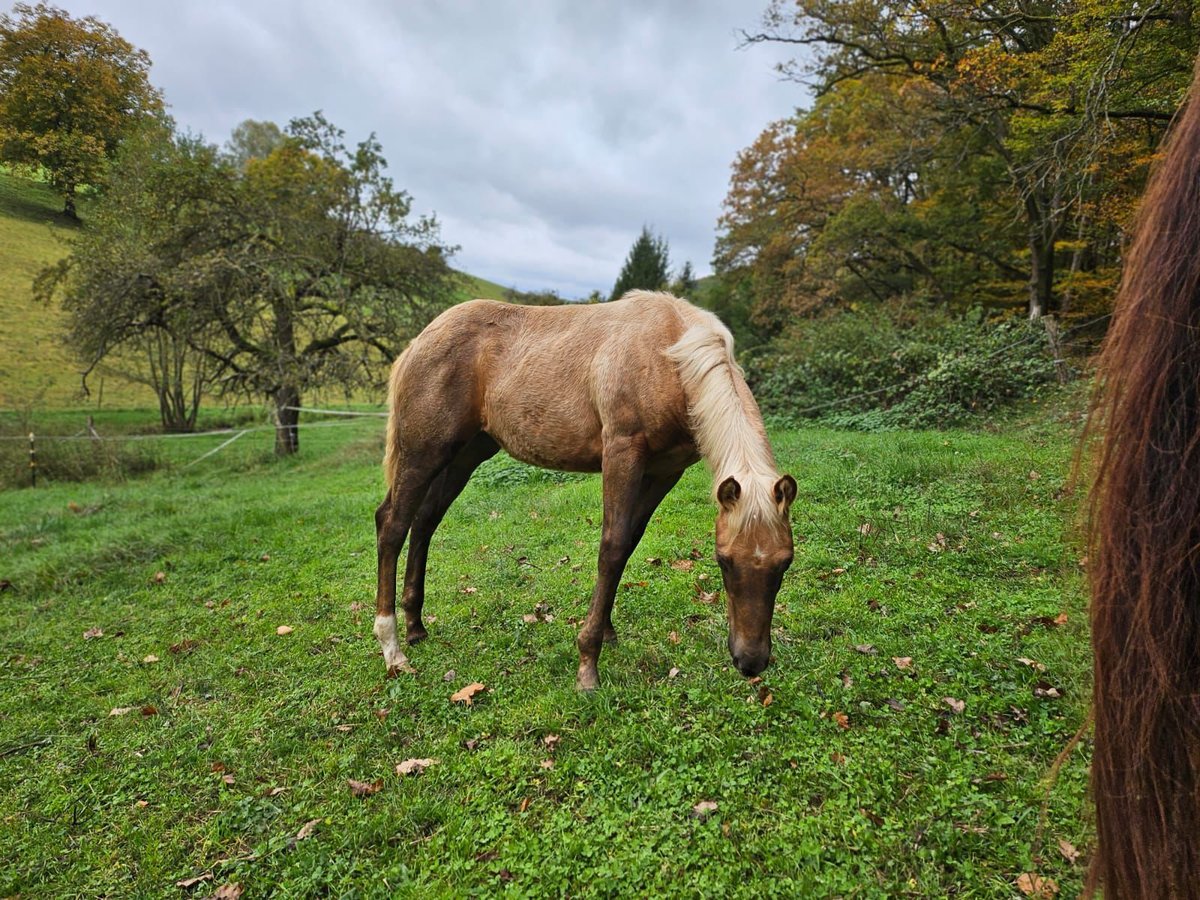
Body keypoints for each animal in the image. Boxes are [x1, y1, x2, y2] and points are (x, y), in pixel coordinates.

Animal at [369, 289, 792, 691]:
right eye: (724, 561)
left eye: (785, 562)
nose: (751, 662)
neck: (668, 355)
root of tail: (419, 341)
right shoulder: (621, 454)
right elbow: (612, 547)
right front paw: (588, 665)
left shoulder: (664, 472)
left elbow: (629, 543)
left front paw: (606, 631)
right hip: (423, 453)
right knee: (392, 524)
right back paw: (393, 649)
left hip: (464, 454)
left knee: (424, 522)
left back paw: (416, 626)